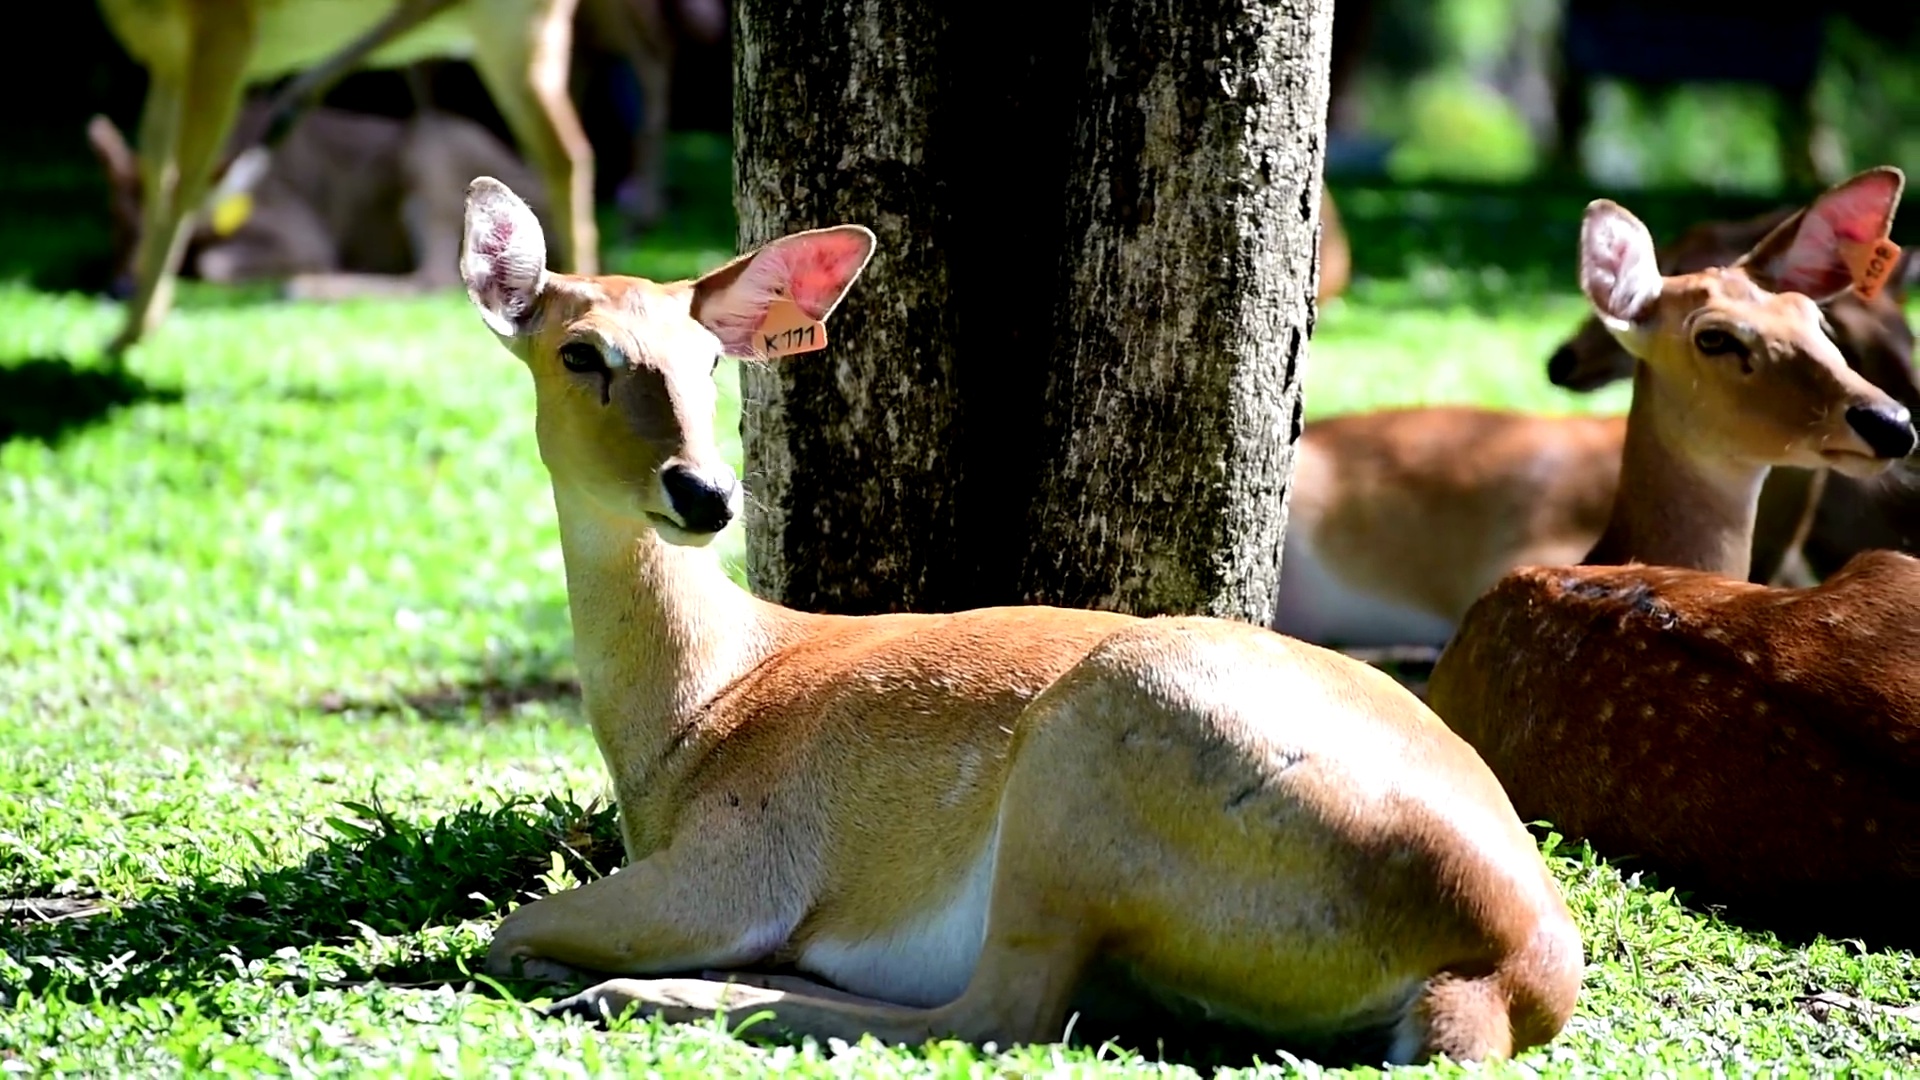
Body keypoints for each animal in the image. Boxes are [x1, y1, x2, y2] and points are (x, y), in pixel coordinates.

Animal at [90, 0, 595, 357]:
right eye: (112, 220)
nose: (116, 287)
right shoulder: (167, 62)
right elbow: (161, 178)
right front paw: (127, 336)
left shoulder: (224, 34)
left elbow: (184, 191)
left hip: (454, 113)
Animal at [456, 176, 1582, 1060]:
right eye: (580, 353)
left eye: (712, 360)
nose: (704, 493)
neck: (705, 706)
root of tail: (1506, 968)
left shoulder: (742, 860)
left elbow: (508, 928)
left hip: (1087, 763)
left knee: (998, 1013)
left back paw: (643, 992)